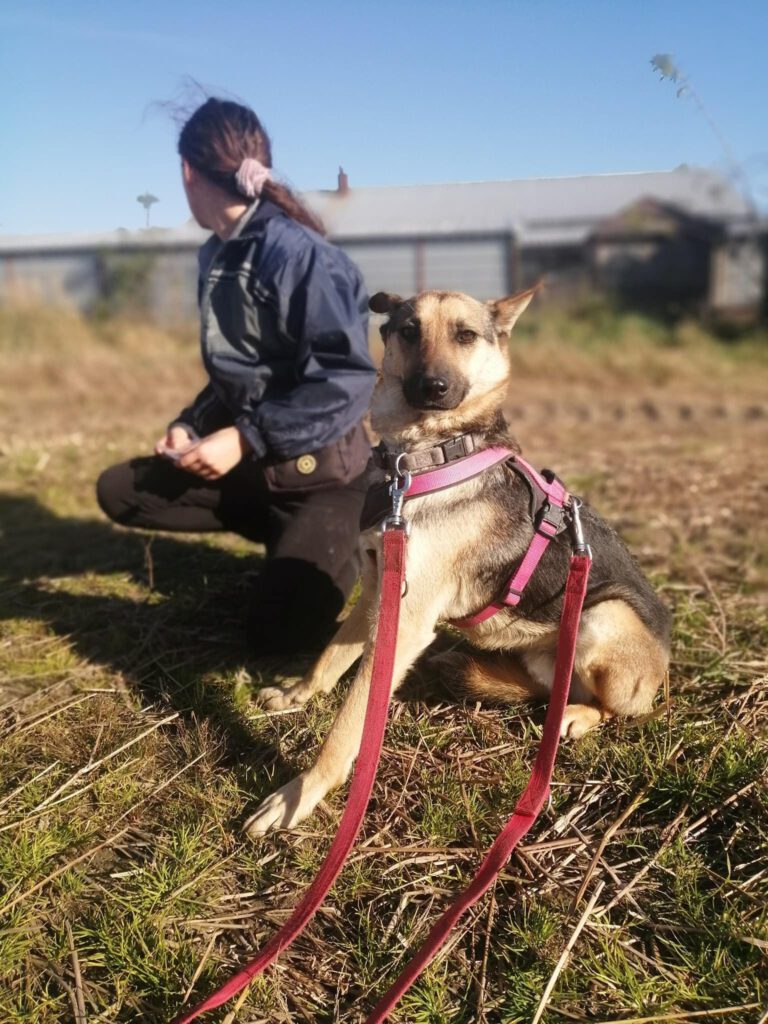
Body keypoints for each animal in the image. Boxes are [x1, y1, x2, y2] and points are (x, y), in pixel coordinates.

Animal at [243, 284, 671, 835]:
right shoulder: (378, 588)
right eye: (409, 331)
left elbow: (349, 724)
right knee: (550, 691)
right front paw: (298, 695)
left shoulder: (405, 624)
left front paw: (300, 794)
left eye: (465, 335)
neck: (426, 456)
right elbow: (330, 656)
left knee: (618, 709)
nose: (433, 387)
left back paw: (578, 716)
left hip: (602, 619)